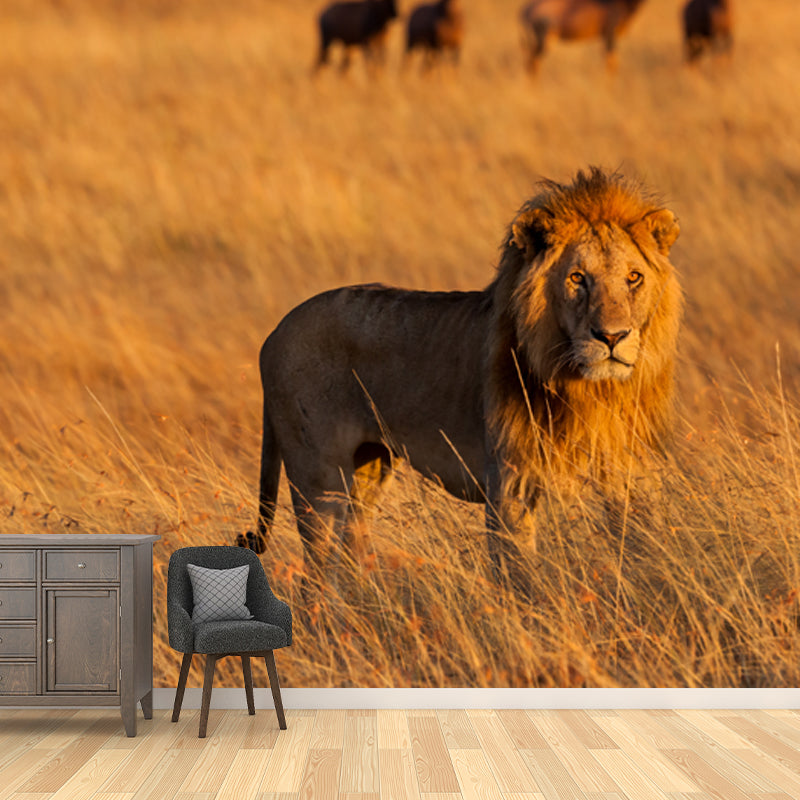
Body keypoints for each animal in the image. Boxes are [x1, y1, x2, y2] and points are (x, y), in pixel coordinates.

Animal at [239, 167, 682, 582]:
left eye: (634, 278)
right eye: (577, 278)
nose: (612, 336)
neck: (592, 390)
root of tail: (274, 333)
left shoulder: (631, 474)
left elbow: (643, 545)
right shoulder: (510, 483)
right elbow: (521, 577)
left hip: (366, 471)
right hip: (319, 480)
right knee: (317, 575)